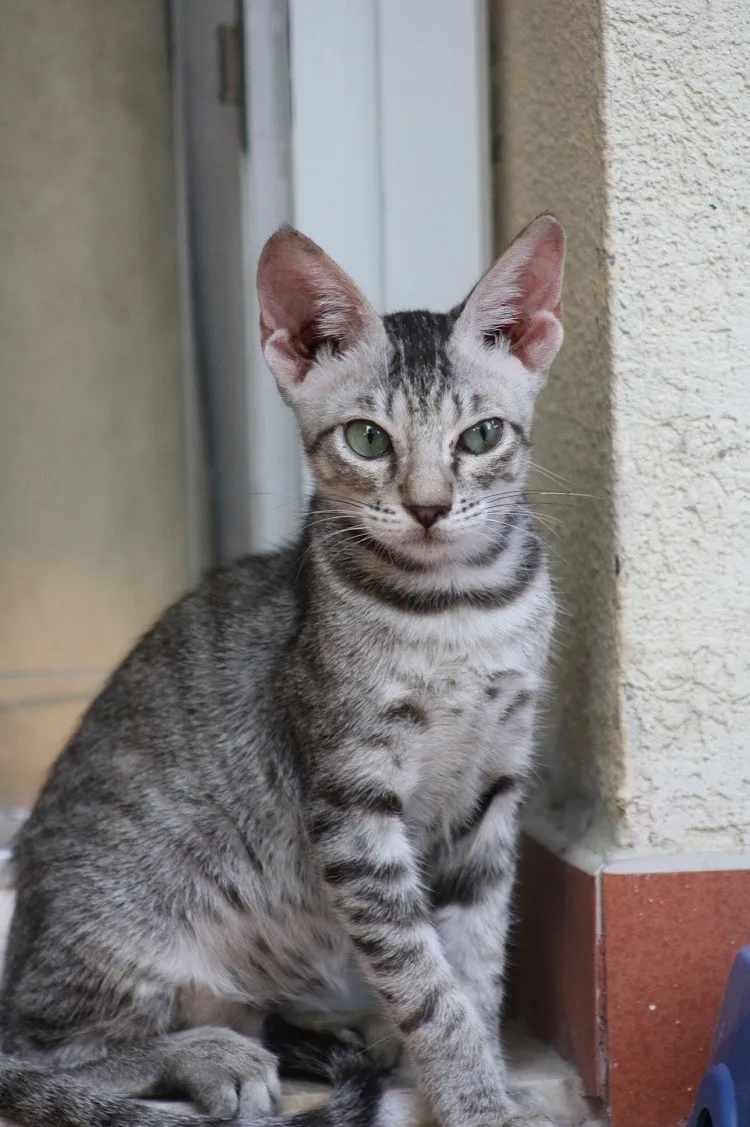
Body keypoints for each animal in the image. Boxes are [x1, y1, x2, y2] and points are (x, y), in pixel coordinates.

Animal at [0, 213, 561, 1127]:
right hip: (130, 919)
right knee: (41, 1049)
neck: (456, 609)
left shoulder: (493, 788)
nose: (430, 506)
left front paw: (494, 1083)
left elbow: (474, 958)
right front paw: (475, 1096)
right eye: (368, 438)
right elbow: (424, 975)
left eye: (481, 436)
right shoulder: (351, 802)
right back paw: (210, 1056)